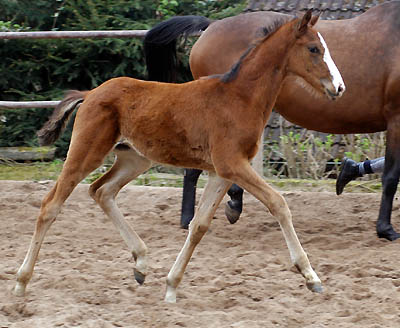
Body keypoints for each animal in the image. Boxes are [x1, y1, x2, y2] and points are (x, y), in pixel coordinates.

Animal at [12, 11, 344, 304]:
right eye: (314, 48)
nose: (339, 87)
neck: (239, 98)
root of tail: (90, 93)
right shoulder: (232, 164)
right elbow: (279, 203)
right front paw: (311, 277)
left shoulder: (222, 172)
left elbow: (199, 225)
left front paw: (171, 287)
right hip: (86, 152)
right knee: (51, 204)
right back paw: (21, 283)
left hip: (135, 159)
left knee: (101, 191)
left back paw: (141, 264)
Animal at [145, 0, 400, 241]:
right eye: (313, 49)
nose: (339, 87)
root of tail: (211, 26)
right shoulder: (396, 118)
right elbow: (391, 175)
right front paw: (386, 229)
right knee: (193, 170)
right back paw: (192, 217)